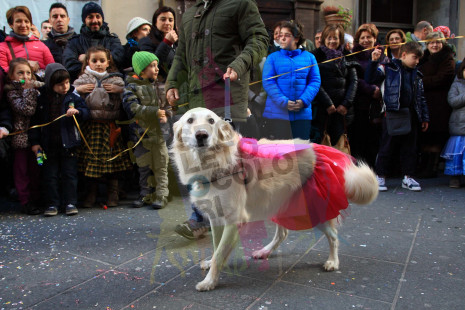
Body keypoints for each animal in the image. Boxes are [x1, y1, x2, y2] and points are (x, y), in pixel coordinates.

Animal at [170, 108, 376, 290]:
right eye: (190, 120)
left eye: (211, 121)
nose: (201, 135)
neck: (214, 163)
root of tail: (316, 149)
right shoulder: (215, 218)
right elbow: (216, 247)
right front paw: (212, 267)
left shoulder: (234, 220)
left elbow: (220, 253)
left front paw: (209, 282)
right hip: (278, 204)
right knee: (283, 233)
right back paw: (265, 252)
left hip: (313, 209)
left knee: (333, 236)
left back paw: (333, 261)